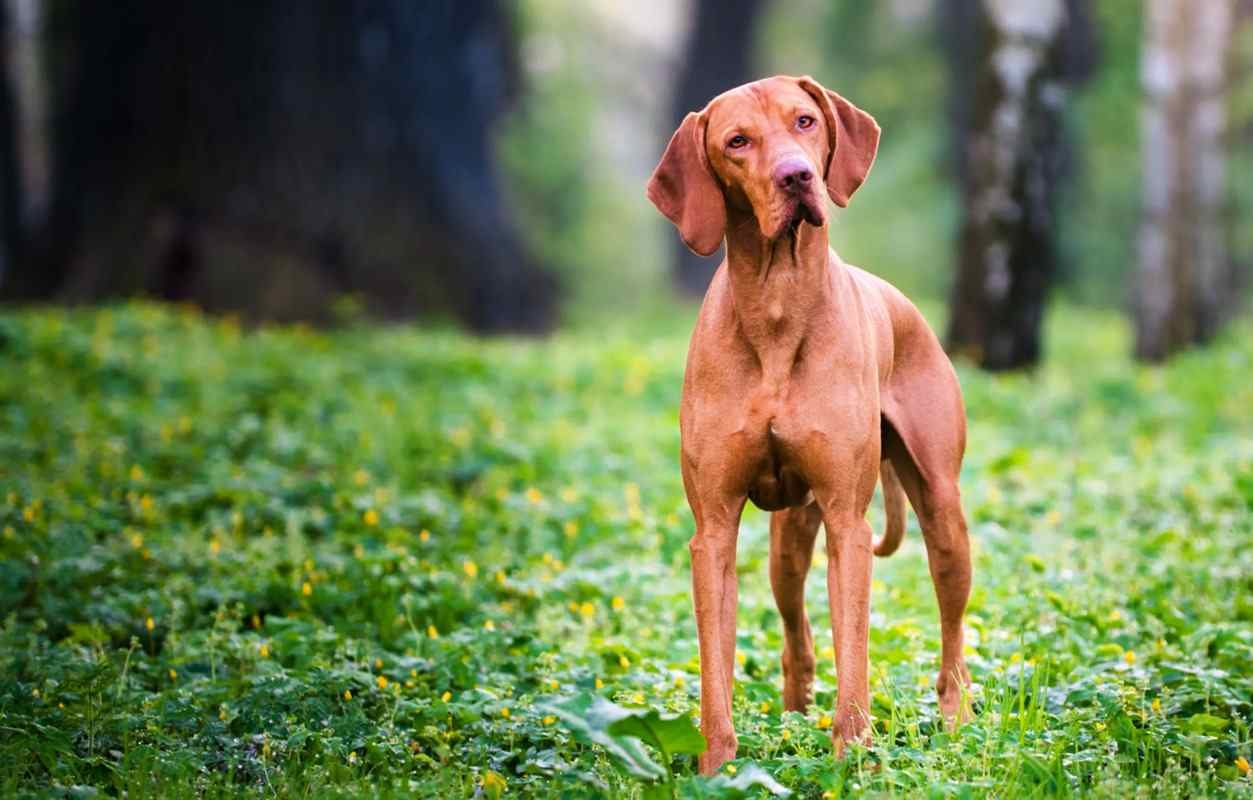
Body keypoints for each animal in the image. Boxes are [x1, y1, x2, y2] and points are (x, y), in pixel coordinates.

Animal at [651, 76, 972, 777]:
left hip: (942, 515)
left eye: (804, 122)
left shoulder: (848, 526)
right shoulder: (713, 531)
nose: (796, 176)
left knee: (952, 637)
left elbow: (854, 655)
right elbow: (715, 671)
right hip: (788, 543)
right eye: (736, 142)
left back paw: (957, 721)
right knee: (795, 635)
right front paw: (718, 768)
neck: (777, 301)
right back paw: (795, 717)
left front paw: (854, 756)